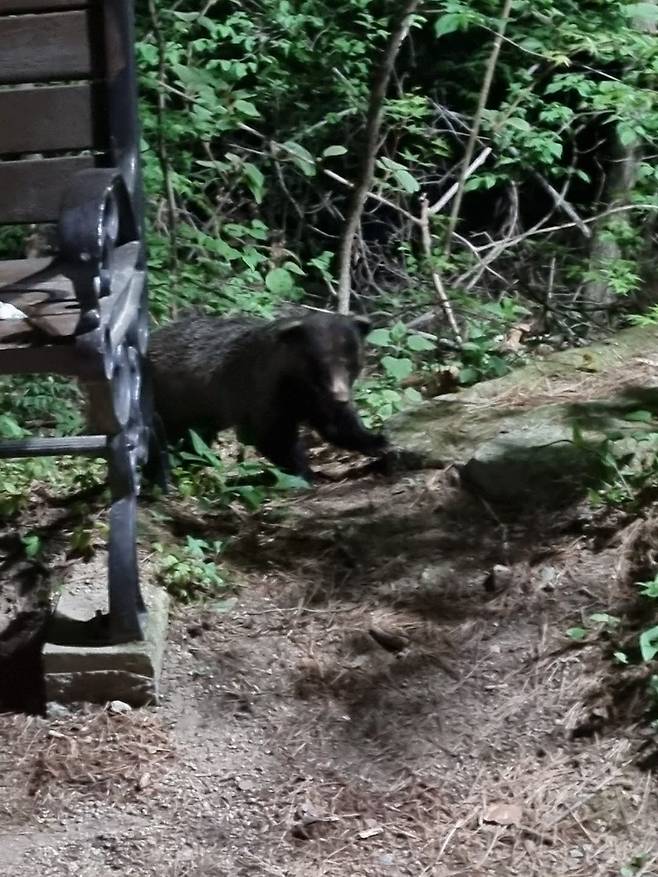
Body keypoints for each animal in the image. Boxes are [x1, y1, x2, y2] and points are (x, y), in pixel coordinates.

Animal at [146, 312, 386, 480]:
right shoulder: (264, 389)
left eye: (350, 363)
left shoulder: (315, 399)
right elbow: (272, 434)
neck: (299, 384)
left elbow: (336, 425)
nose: (341, 397)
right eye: (321, 364)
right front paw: (304, 472)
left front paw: (376, 441)